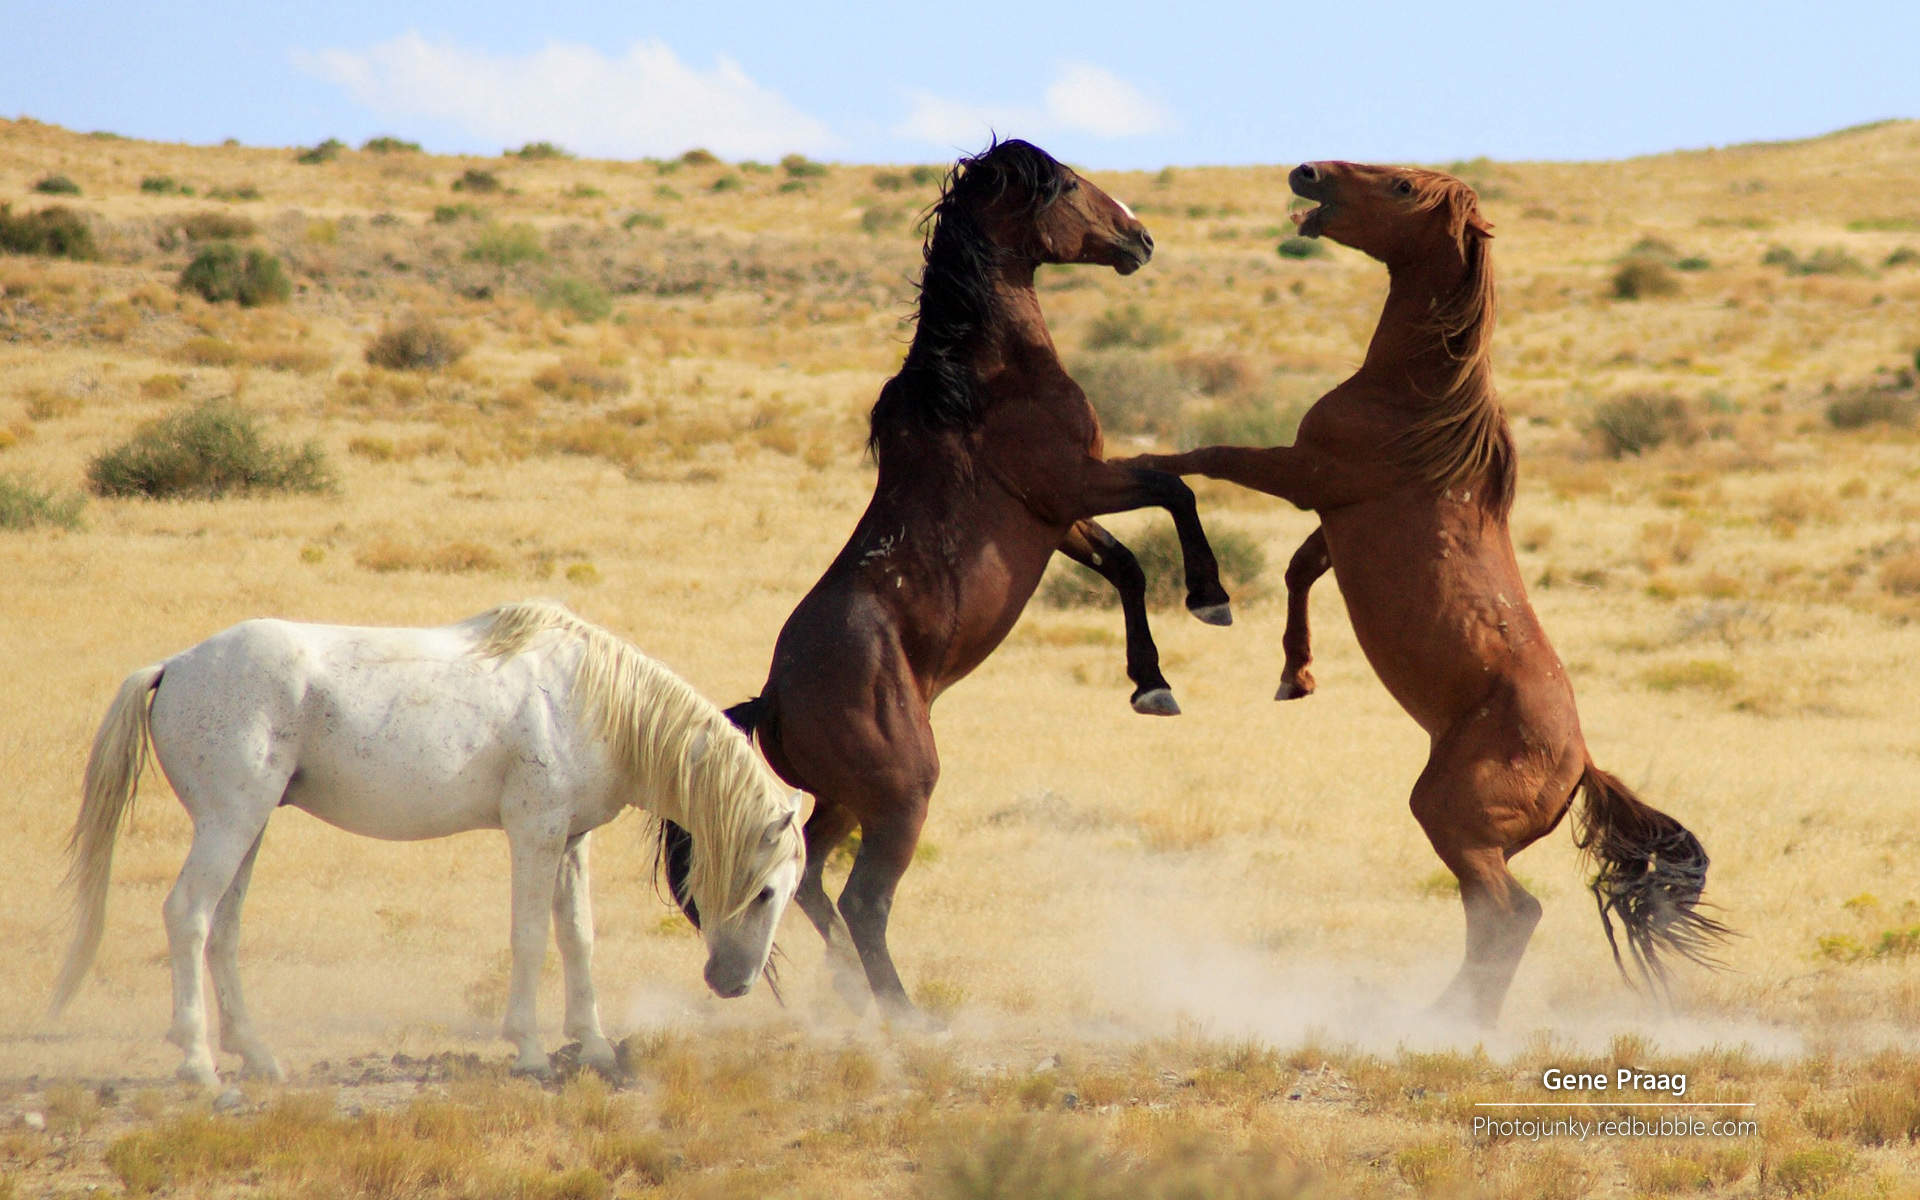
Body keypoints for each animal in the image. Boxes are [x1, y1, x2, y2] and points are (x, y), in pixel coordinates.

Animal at [50, 601, 805, 1085]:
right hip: (229, 823)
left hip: (247, 828)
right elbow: (531, 937)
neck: (593, 701)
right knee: (189, 916)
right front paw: (530, 1051)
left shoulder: (570, 841)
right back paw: (198, 1062)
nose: (732, 983)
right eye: (766, 891)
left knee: (224, 929)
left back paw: (257, 1056)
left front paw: (591, 1046)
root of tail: (175, 665)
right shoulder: (534, 834)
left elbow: (578, 938)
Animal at [667, 138, 1233, 1024]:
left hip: (844, 801)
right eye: (1067, 185)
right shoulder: (1077, 484)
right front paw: (1211, 598)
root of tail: (773, 701)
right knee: (862, 899)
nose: (1140, 239)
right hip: (903, 795)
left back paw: (854, 997)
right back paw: (904, 1016)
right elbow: (1174, 490)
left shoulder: (1059, 520)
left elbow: (1128, 564)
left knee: (812, 880)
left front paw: (1152, 684)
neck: (985, 379)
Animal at [1120, 161, 1728, 1025]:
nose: (1307, 170)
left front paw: (1133, 461)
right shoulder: (1334, 520)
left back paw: (1454, 1019)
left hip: (1450, 817)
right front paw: (1295, 675)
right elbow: (1298, 570)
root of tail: (1581, 767)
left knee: (1512, 912)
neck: (1414, 403)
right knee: (1490, 915)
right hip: (1474, 838)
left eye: (1404, 187)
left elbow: (1208, 455)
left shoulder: (1303, 475)